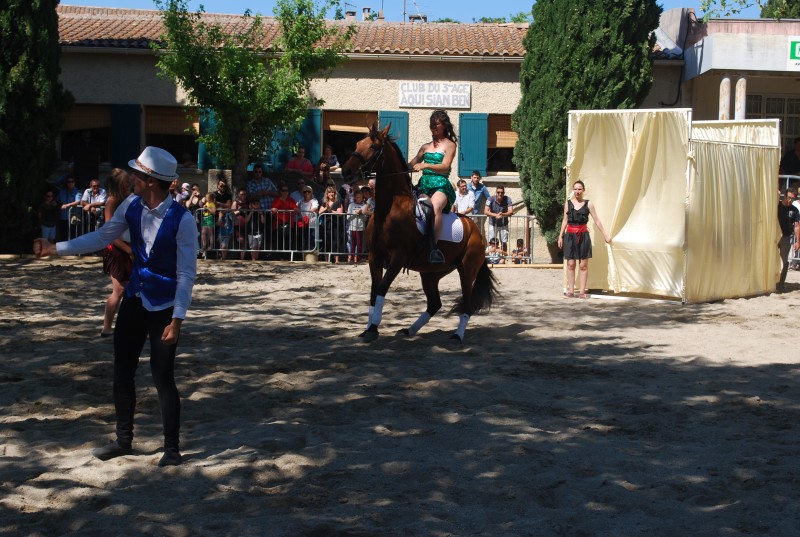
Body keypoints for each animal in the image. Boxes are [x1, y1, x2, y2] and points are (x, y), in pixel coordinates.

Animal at [340, 123, 496, 342]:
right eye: (357, 144)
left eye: (373, 146)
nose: (346, 171)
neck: (389, 210)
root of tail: (476, 231)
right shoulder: (374, 256)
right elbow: (373, 291)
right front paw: (369, 328)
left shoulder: (398, 258)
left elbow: (382, 288)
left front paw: (373, 328)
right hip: (430, 273)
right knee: (435, 303)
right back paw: (409, 330)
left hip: (466, 270)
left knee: (467, 303)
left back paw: (457, 336)